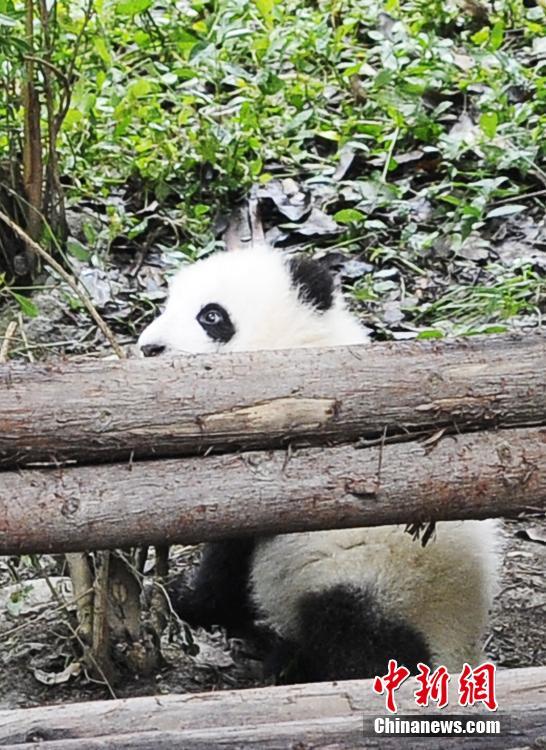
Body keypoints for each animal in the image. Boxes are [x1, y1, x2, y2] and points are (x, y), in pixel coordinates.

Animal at [138, 244, 500, 683]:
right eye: (168, 303)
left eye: (210, 316)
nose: (148, 348)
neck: (299, 347)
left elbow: (228, 560)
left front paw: (184, 598)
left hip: (374, 586)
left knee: (353, 641)